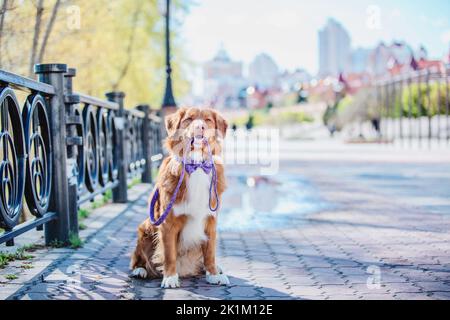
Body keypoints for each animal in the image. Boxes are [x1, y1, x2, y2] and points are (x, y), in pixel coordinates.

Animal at [129, 107, 229, 288]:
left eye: (208, 120)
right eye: (189, 119)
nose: (200, 126)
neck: (196, 167)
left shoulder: (211, 221)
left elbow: (210, 252)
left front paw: (213, 274)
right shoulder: (168, 224)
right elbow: (169, 254)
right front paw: (170, 277)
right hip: (145, 227)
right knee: (138, 258)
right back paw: (140, 270)